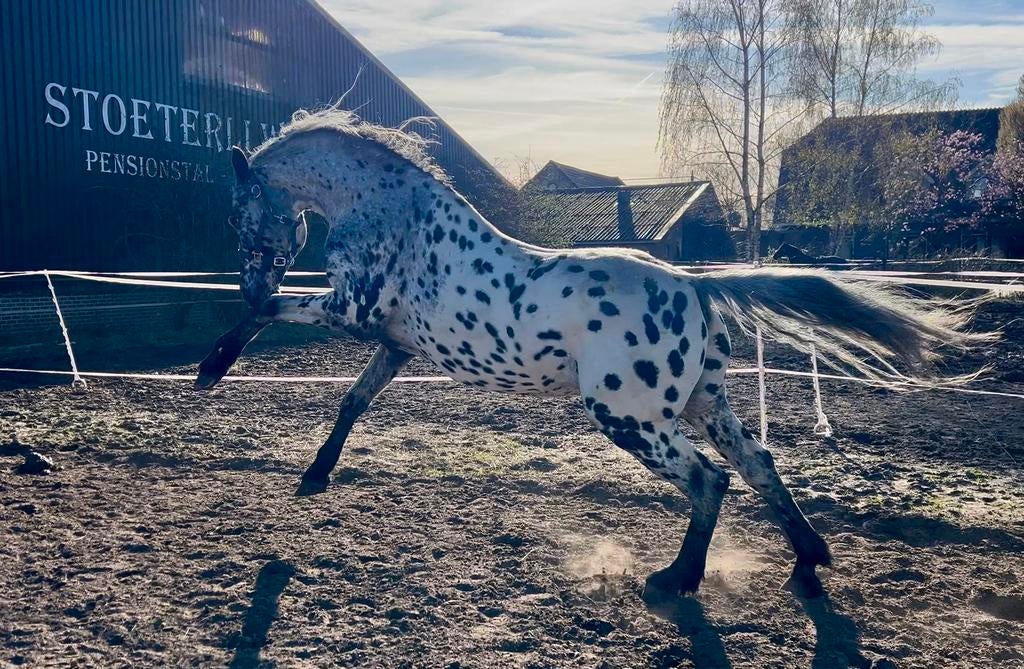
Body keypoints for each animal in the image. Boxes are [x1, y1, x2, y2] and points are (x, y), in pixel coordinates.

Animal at [196, 109, 983, 603]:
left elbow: (270, 316)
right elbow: (351, 399)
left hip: (626, 415)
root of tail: (695, 284)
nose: (245, 274)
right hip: (706, 402)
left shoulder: (353, 310)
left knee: (710, 479)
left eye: (236, 213)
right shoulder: (392, 342)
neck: (390, 213)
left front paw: (210, 368)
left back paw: (675, 581)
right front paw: (314, 475)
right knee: (758, 464)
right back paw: (809, 563)